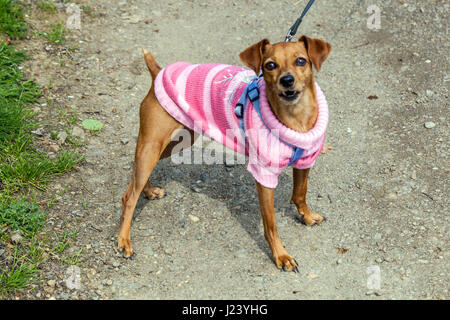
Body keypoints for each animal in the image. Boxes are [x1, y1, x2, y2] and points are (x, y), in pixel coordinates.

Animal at [118, 36, 330, 272]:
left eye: (301, 61)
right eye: (270, 65)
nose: (287, 80)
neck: (295, 118)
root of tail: (158, 72)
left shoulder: (305, 161)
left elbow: (300, 193)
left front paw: (306, 216)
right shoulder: (264, 175)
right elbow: (271, 224)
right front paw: (281, 255)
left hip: (173, 143)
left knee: (136, 178)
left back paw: (148, 191)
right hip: (153, 145)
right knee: (129, 196)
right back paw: (124, 241)